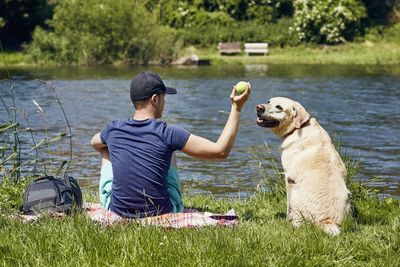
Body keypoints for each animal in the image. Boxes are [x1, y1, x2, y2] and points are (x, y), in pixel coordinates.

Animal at [256, 97, 350, 236]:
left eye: (279, 107)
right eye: (269, 101)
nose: (258, 107)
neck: (298, 128)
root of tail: (327, 220)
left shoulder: (289, 178)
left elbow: (288, 205)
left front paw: (287, 220)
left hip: (296, 193)